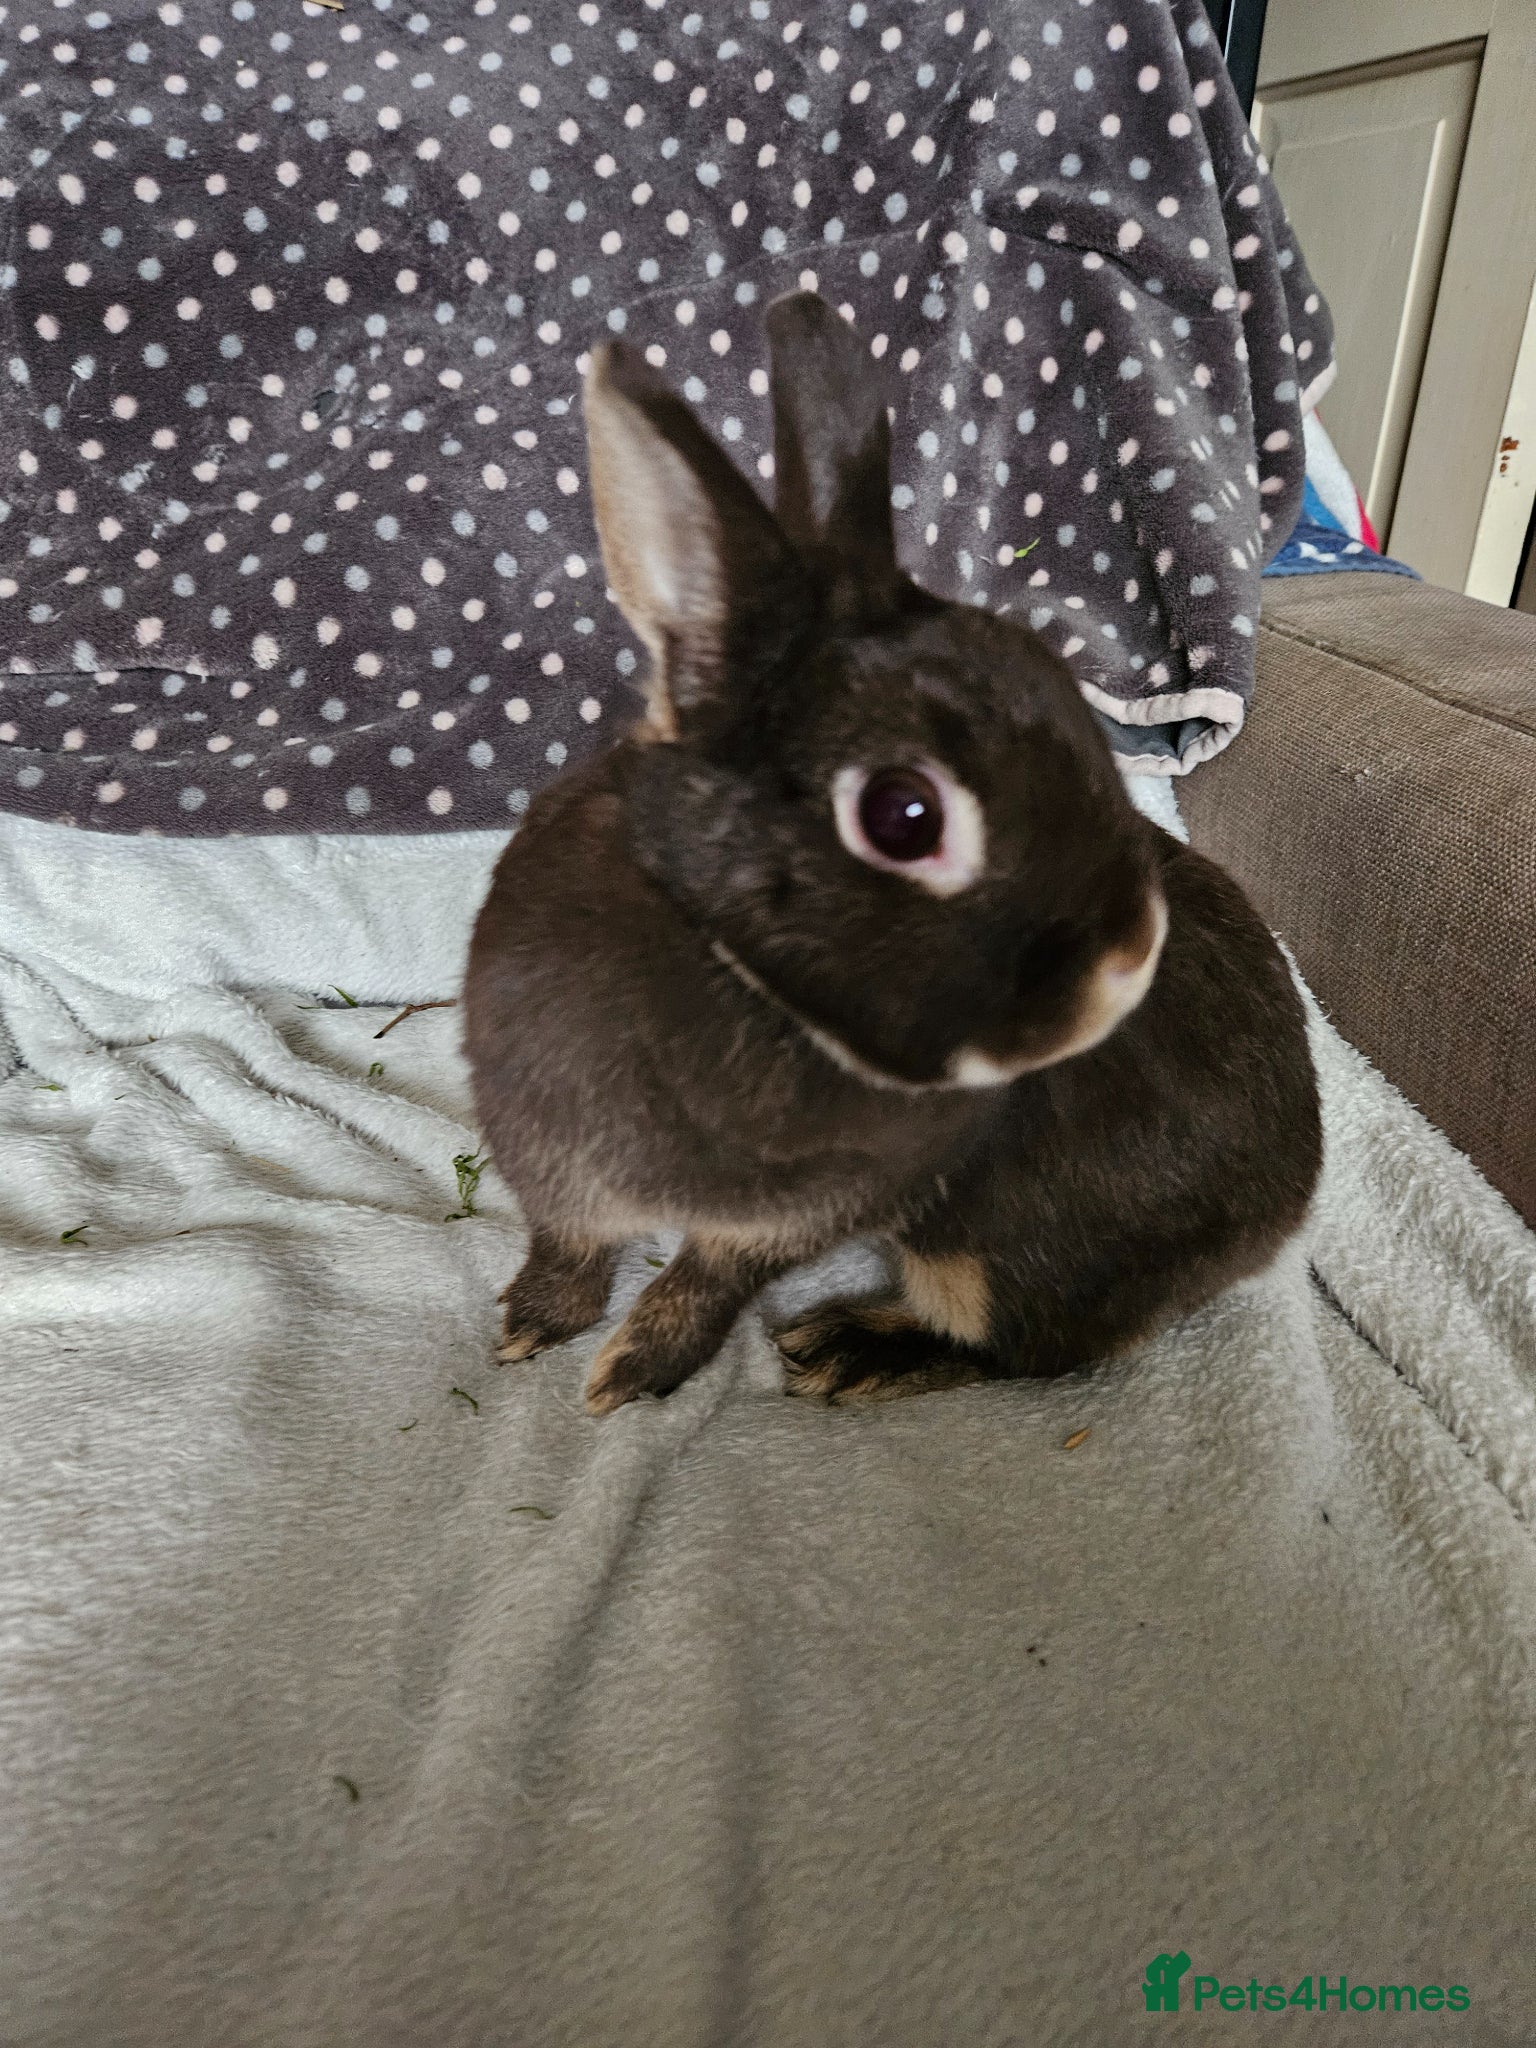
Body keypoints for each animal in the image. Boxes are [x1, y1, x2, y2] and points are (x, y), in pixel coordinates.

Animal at [461, 291, 1322, 1416]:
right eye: (905, 817)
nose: (1132, 954)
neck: (743, 980)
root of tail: (1290, 1206)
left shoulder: (799, 1214)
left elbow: (706, 1279)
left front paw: (635, 1370)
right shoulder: (557, 1164)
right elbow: (569, 1246)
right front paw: (531, 1325)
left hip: (996, 1255)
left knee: (1025, 1353)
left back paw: (843, 1350)